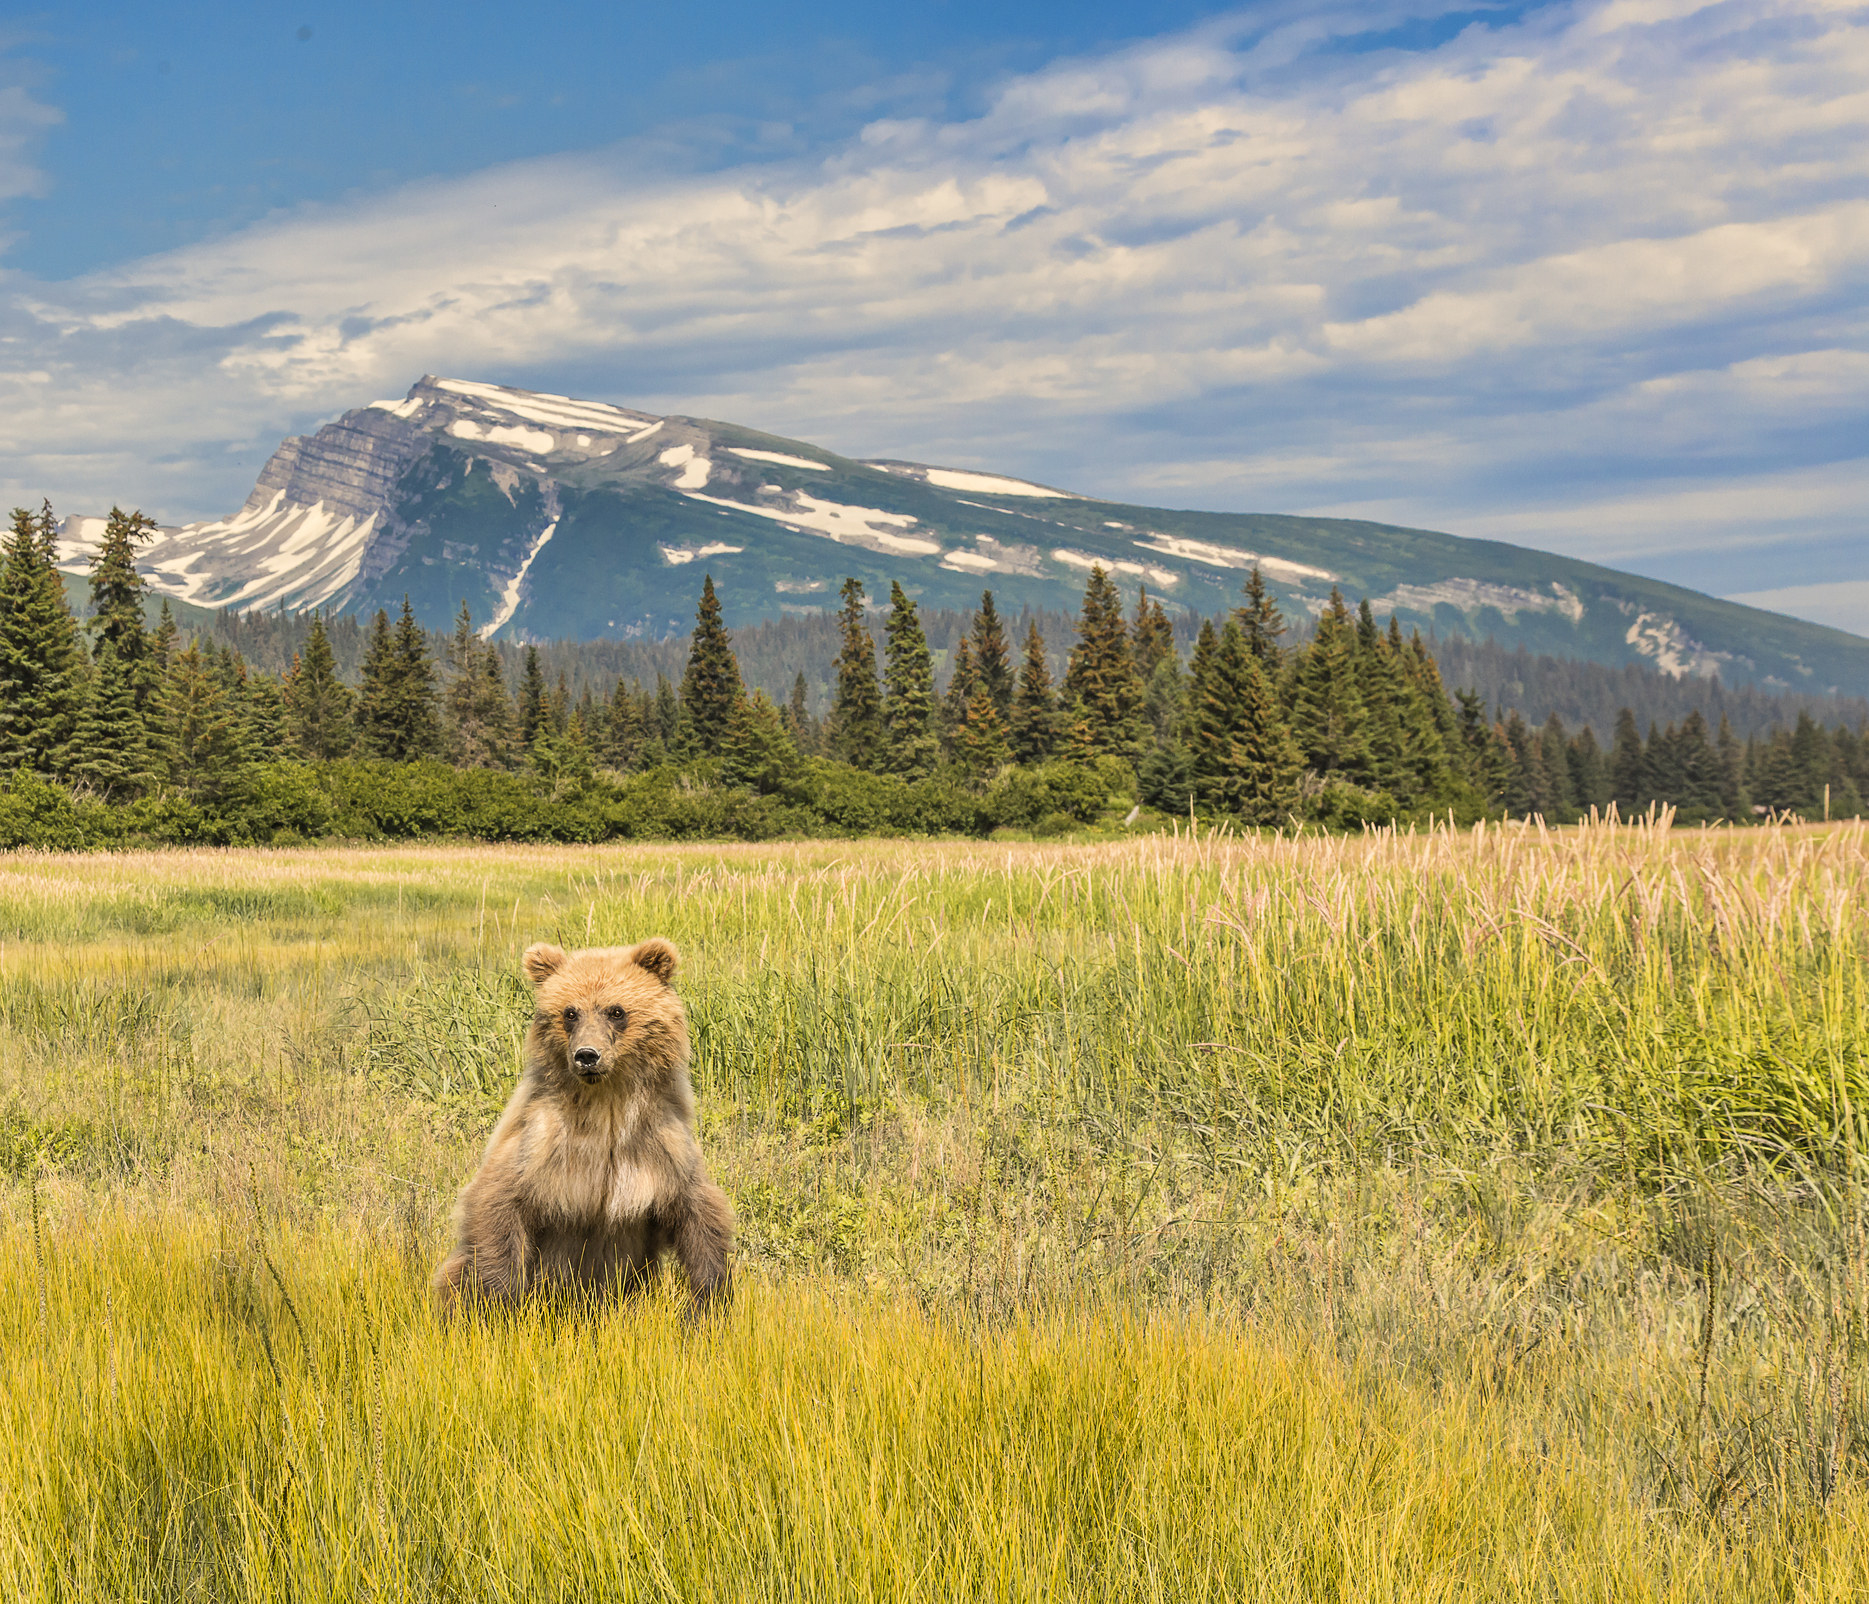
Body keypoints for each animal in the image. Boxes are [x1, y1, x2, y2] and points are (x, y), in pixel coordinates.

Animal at [433, 938, 732, 1316]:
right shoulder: (540, 1144)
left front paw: (707, 1303)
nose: (587, 1055)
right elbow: (496, 1205)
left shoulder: (662, 1147)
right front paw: (498, 1305)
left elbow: (701, 1215)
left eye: (616, 1011)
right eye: (569, 1012)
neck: (606, 1103)